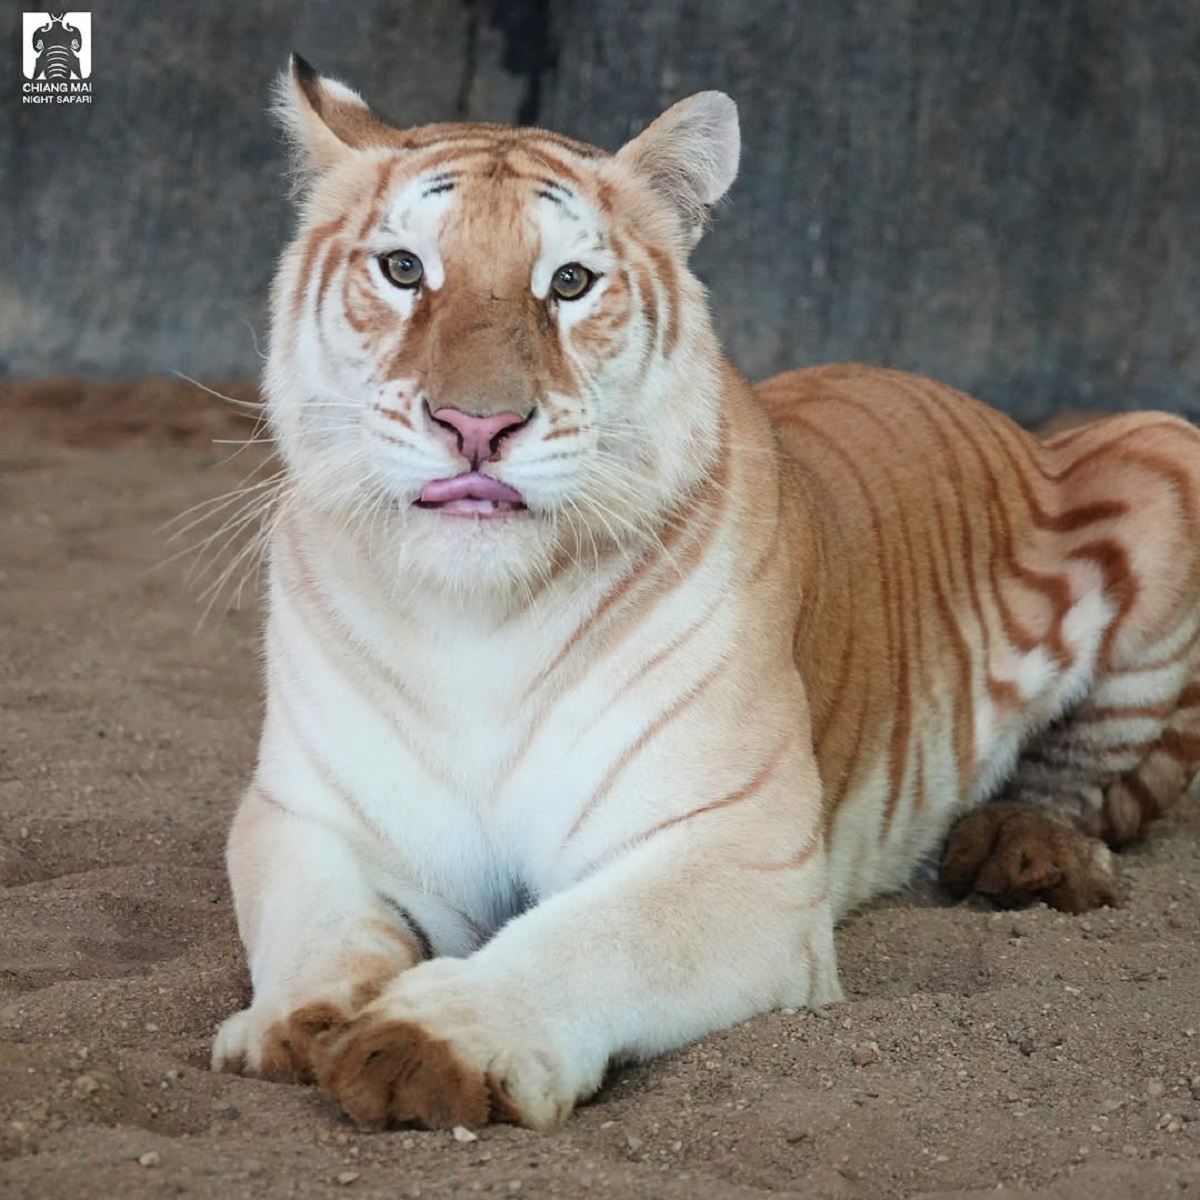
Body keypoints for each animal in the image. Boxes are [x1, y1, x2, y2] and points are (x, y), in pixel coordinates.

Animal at [213, 54, 1200, 1123]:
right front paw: (295, 1026)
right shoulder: (306, 815)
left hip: (1164, 447)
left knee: (1088, 783)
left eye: (568, 282)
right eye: (403, 270)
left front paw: (428, 1040)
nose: (477, 426)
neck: (476, 615)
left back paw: (1026, 853)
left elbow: (581, 941)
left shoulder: (737, 853)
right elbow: (320, 925)